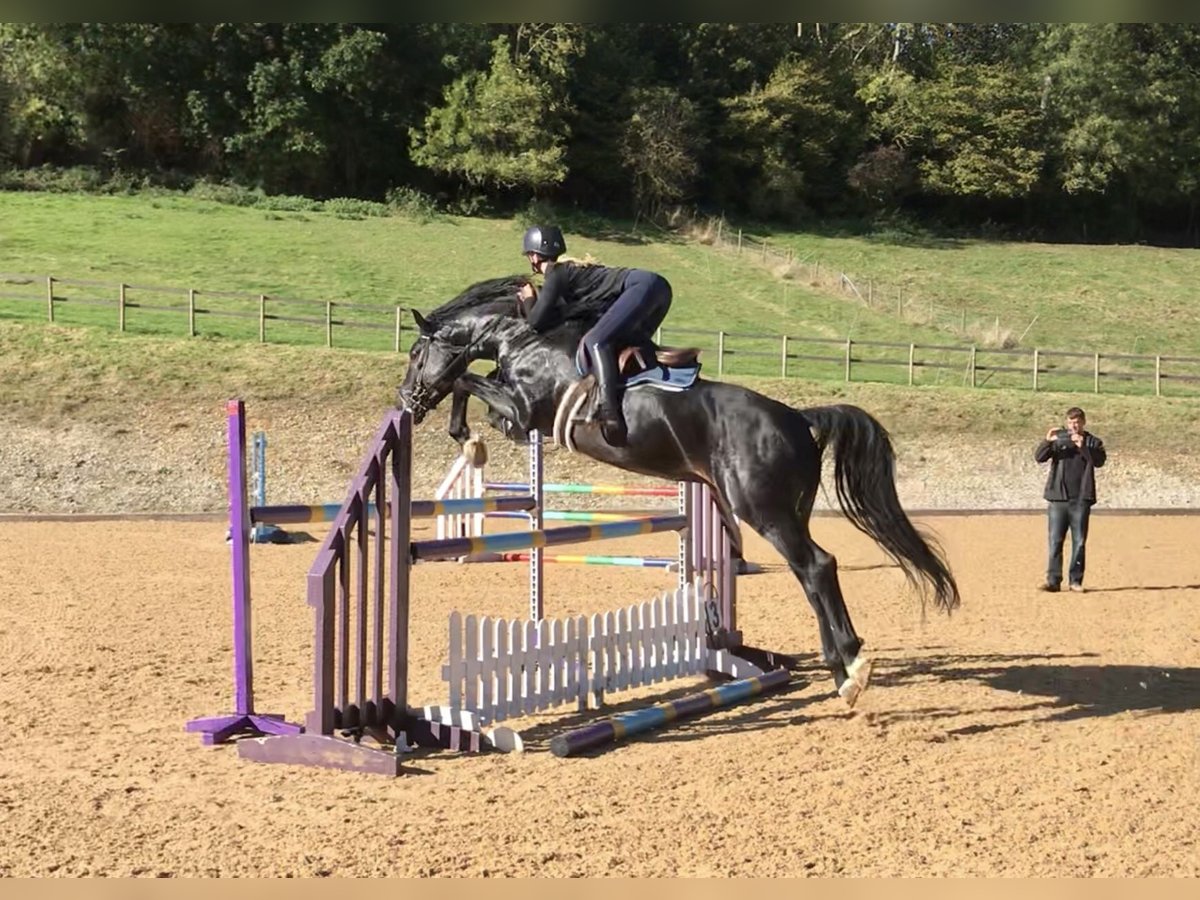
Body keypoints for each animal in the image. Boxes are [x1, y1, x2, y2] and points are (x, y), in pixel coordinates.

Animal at [398, 274, 960, 705]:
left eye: (416, 352)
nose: (407, 402)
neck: (521, 337)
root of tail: (798, 419)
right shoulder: (518, 415)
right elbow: (473, 382)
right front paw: (467, 435)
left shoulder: (521, 411)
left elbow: (467, 381)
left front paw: (465, 436)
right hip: (783, 510)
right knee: (812, 572)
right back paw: (841, 670)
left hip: (762, 509)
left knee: (817, 566)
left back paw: (851, 667)